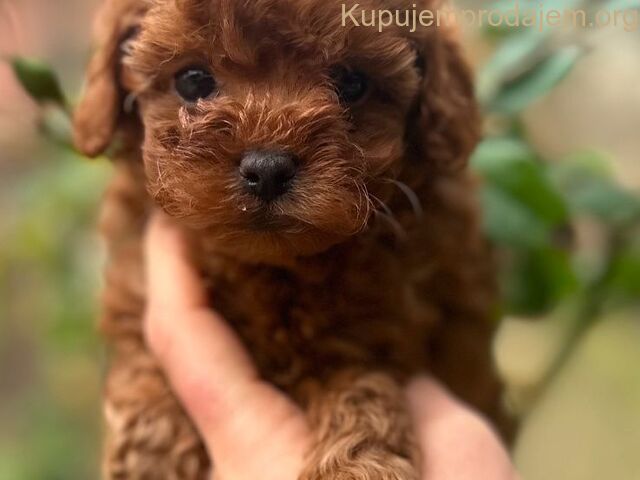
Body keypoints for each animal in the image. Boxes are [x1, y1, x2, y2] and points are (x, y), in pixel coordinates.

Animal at [74, 0, 510, 478]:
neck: (271, 266)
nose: (268, 169)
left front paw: (357, 465)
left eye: (352, 83)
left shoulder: (381, 335)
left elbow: (362, 389)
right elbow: (141, 353)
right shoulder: (136, 279)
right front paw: (151, 455)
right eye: (192, 81)